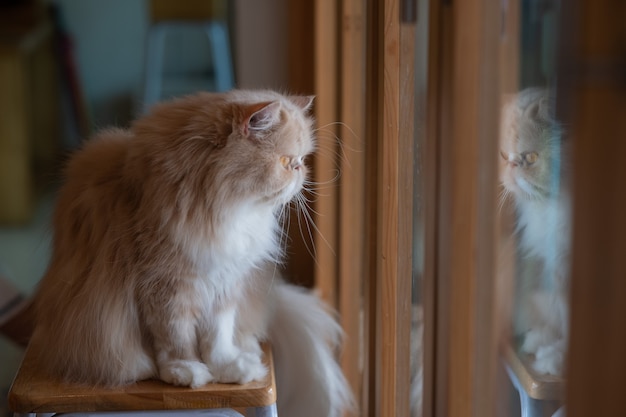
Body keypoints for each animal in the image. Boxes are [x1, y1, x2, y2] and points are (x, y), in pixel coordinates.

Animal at [31, 88, 354, 416]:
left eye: (301, 160)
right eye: (287, 161)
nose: (302, 172)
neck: (222, 209)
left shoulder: (225, 283)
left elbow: (218, 337)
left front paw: (228, 368)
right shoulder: (167, 288)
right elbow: (176, 338)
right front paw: (185, 371)